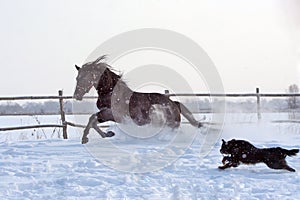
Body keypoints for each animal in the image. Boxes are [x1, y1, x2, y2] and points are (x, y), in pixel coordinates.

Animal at [73, 55, 203, 145]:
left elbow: (92, 118)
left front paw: (85, 138)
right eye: (77, 78)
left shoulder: (113, 114)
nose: (76, 96)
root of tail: (174, 104)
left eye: (84, 78)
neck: (112, 93)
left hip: (170, 125)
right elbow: (94, 121)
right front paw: (108, 134)